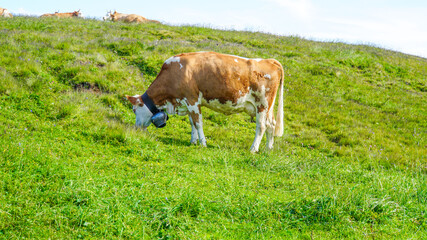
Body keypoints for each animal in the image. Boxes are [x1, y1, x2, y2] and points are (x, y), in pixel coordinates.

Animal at [126, 51, 284, 153]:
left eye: (134, 110)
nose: (135, 128)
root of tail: (270, 60)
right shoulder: (187, 103)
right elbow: (192, 122)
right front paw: (193, 141)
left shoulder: (192, 100)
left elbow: (198, 123)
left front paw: (202, 143)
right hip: (268, 107)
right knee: (271, 124)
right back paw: (268, 149)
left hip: (262, 104)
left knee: (261, 126)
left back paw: (253, 149)